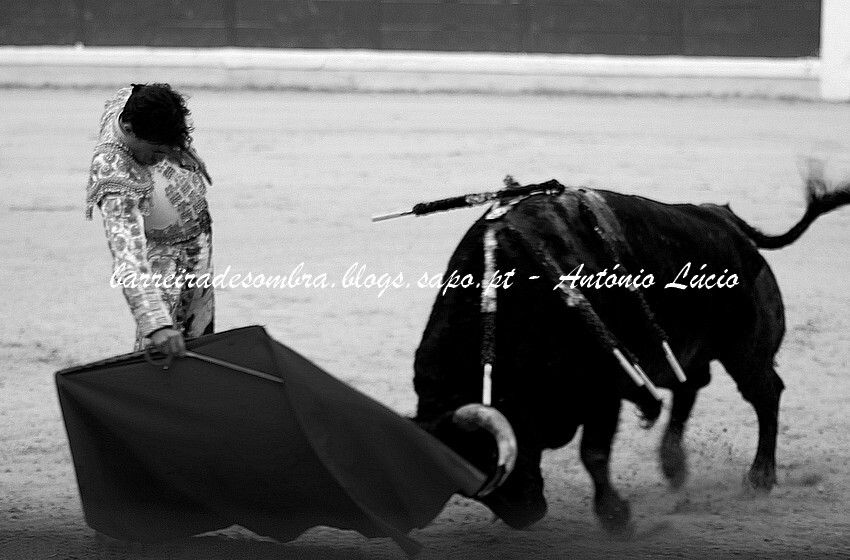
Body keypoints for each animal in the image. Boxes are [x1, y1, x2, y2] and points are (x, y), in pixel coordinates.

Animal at [411, 168, 850, 535]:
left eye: (491, 461)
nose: (527, 516)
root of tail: (730, 223)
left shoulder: (605, 389)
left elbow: (593, 454)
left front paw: (615, 517)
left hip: (746, 353)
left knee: (765, 395)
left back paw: (758, 479)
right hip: (680, 350)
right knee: (690, 386)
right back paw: (674, 466)